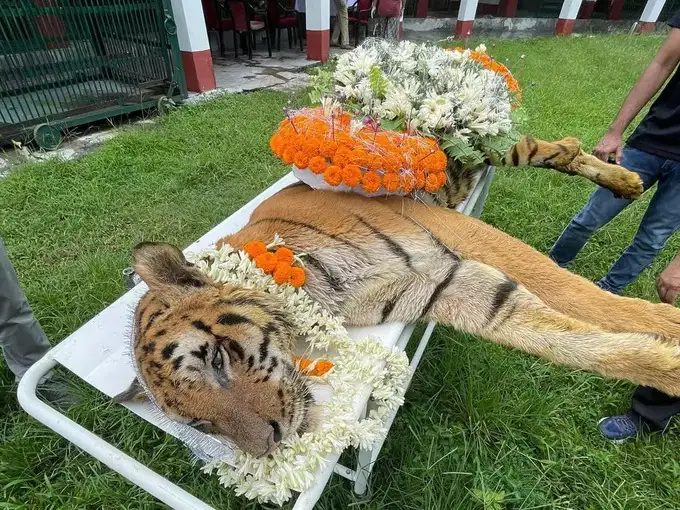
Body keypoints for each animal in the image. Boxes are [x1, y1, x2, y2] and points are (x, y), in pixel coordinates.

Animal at [115, 136, 680, 459]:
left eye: (215, 359)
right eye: (200, 424)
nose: (270, 446)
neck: (320, 296)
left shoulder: (450, 233)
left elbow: (573, 290)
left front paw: (668, 323)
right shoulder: (438, 285)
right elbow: (564, 339)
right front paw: (666, 365)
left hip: (481, 150)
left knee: (551, 144)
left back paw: (625, 178)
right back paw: (626, 183)